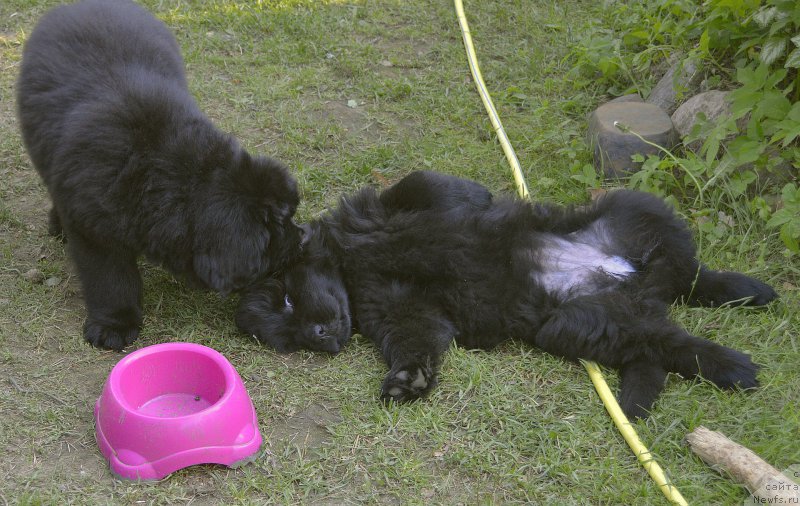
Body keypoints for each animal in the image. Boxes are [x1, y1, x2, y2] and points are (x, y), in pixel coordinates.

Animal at [18, 0, 306, 350]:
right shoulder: (94, 227)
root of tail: (85, 5)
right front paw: (115, 324)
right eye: (275, 229)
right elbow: (110, 278)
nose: (303, 238)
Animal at [236, 171, 776, 420]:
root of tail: (634, 282)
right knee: (659, 342)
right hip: (583, 323)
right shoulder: (399, 309)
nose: (321, 338)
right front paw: (409, 380)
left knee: (691, 279)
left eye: (286, 298)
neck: (353, 266)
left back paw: (742, 327)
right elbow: (416, 341)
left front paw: (475, 197)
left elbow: (424, 185)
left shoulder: (385, 211)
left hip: (633, 209)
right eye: (289, 337)